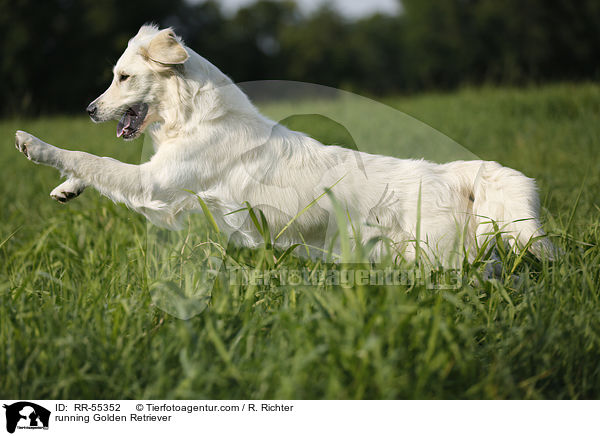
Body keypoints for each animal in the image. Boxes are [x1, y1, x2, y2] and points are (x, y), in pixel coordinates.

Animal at [14, 25, 552, 266]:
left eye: (123, 77)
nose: (88, 110)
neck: (193, 116)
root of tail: (457, 174)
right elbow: (95, 167)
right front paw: (67, 189)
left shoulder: (157, 182)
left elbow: (91, 157)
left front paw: (33, 144)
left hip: (436, 260)